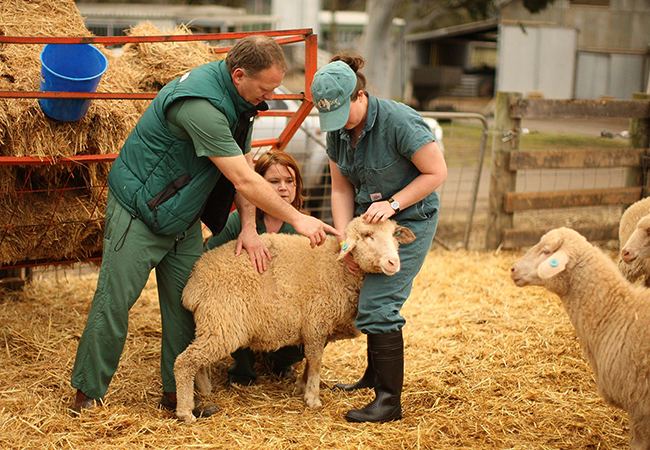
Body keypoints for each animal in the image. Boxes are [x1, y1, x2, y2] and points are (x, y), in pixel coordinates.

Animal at [175, 217, 412, 422]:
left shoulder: (315, 330)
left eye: (395, 234)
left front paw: (303, 385)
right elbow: (315, 362)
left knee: (198, 361)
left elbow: (310, 361)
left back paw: (205, 390)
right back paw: (185, 410)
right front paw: (313, 398)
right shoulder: (317, 323)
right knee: (185, 361)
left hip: (212, 324)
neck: (340, 268)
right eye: (367, 235)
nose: (393, 262)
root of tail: (194, 282)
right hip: (224, 324)